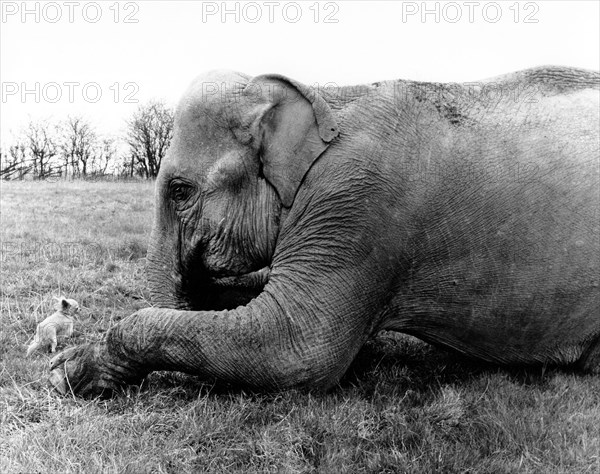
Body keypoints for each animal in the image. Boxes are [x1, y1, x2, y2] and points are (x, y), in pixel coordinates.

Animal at [49, 65, 596, 396]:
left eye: (180, 192)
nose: (193, 273)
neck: (323, 97)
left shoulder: (358, 204)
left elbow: (295, 348)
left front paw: (65, 372)